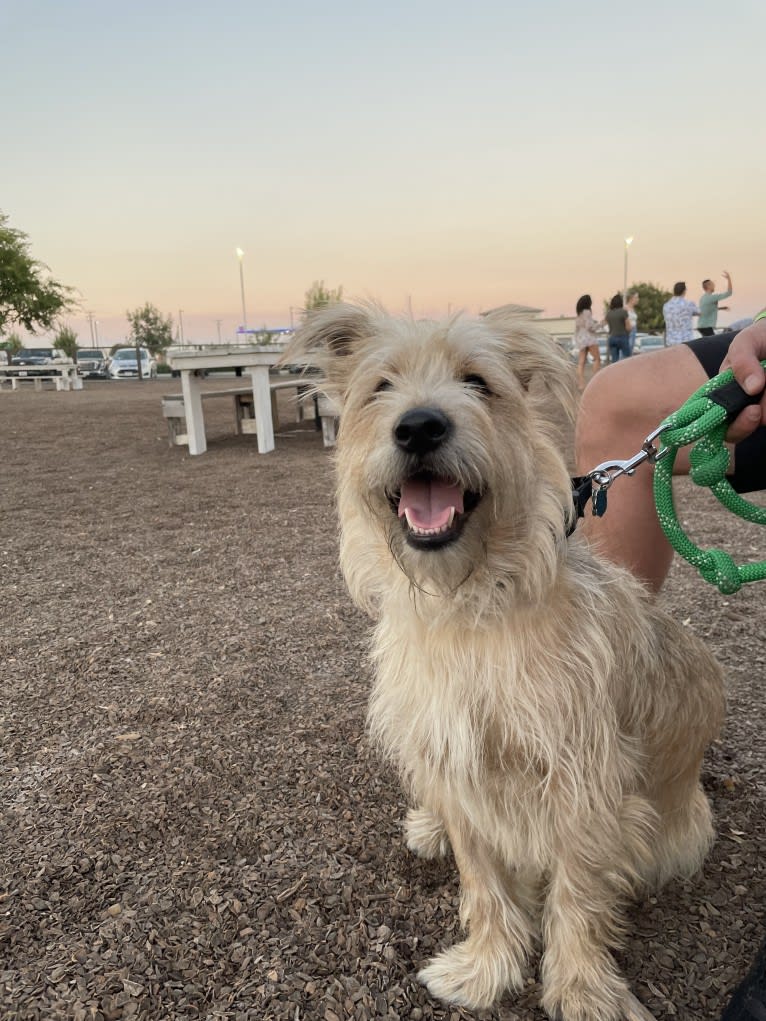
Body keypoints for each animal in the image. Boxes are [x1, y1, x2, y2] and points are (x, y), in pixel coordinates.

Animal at [285, 302, 727, 1021]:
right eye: (381, 386)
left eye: (478, 382)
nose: (419, 425)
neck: (468, 610)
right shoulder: (456, 763)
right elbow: (483, 879)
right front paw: (486, 967)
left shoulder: (583, 784)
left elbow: (577, 895)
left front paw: (582, 989)